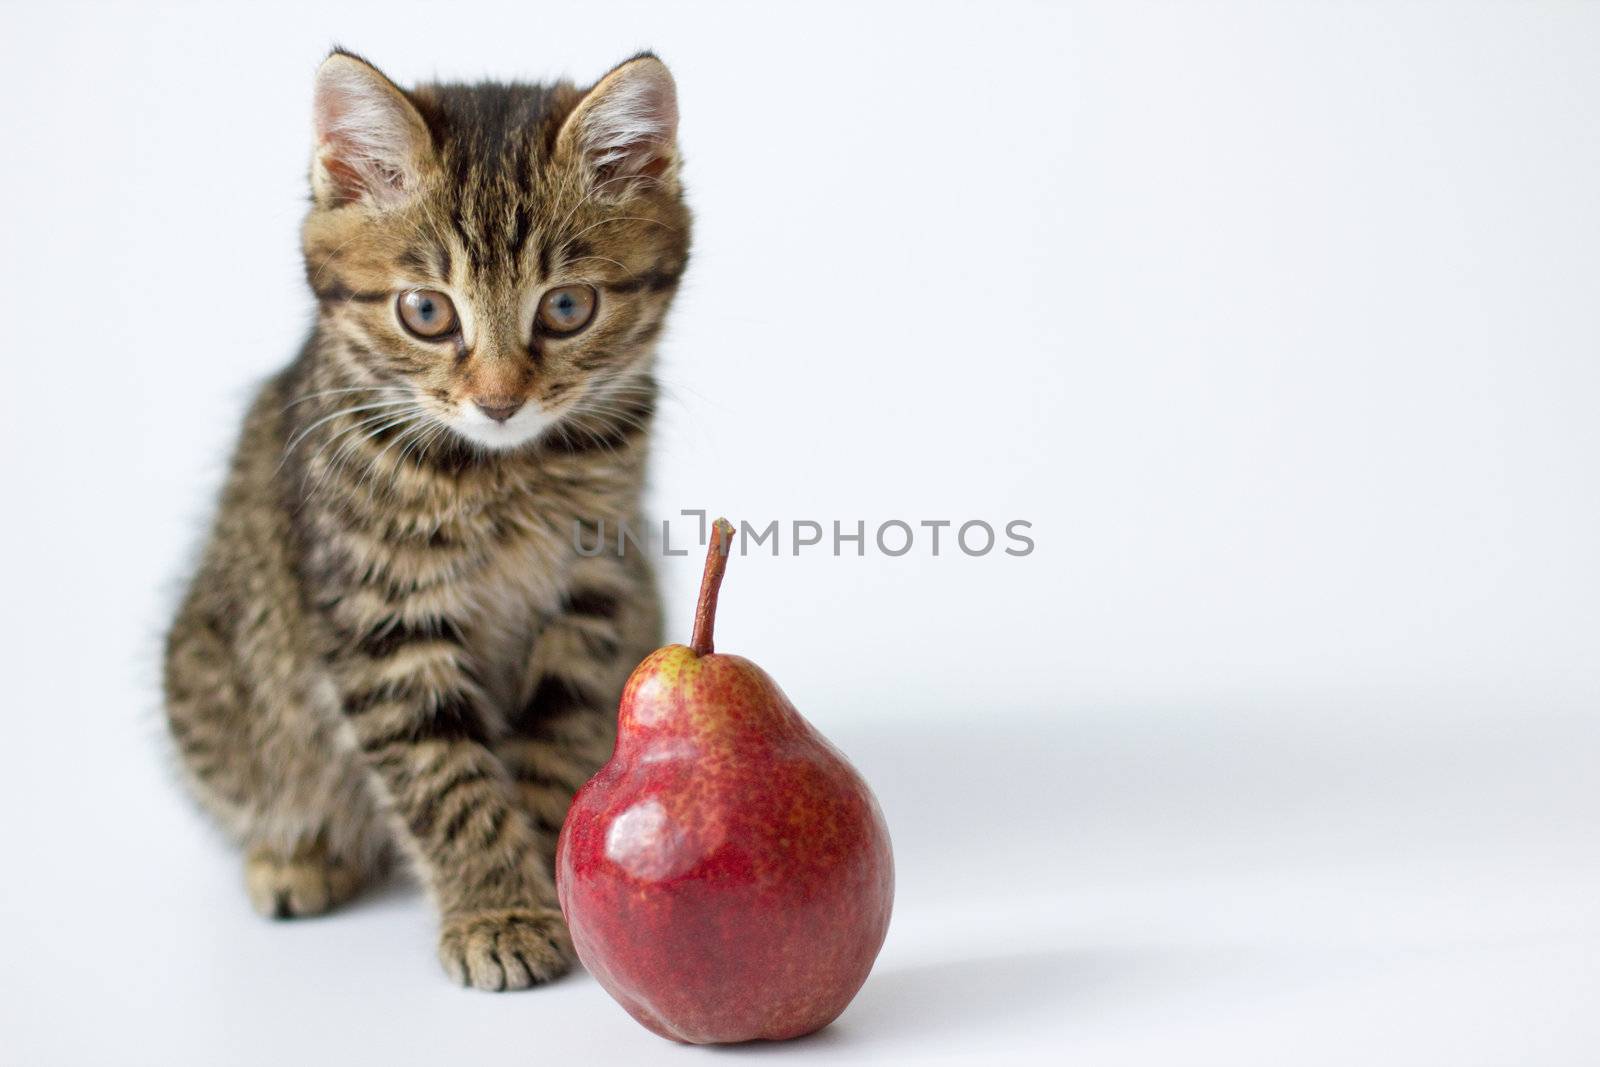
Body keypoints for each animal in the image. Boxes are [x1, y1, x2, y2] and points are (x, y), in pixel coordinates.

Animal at [162, 45, 688, 991]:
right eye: (427, 311)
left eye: (567, 307)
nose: (500, 400)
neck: (505, 471)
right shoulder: (380, 616)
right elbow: (441, 773)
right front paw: (498, 910)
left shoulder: (595, 589)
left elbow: (557, 732)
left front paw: (553, 874)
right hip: (206, 668)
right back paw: (294, 857)